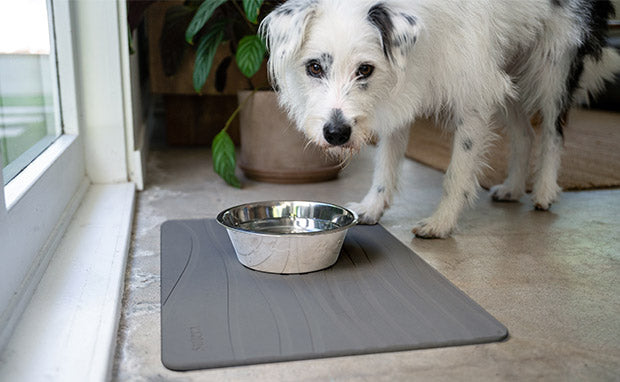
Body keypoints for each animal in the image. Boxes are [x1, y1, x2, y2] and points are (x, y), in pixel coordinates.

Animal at [260, 0, 620, 239]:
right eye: (314, 67)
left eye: (365, 69)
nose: (336, 133)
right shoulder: (401, 88)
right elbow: (386, 162)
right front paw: (372, 207)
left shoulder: (474, 94)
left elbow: (458, 171)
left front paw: (441, 223)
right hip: (508, 72)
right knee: (524, 134)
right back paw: (514, 187)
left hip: (552, 68)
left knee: (552, 131)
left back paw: (544, 190)